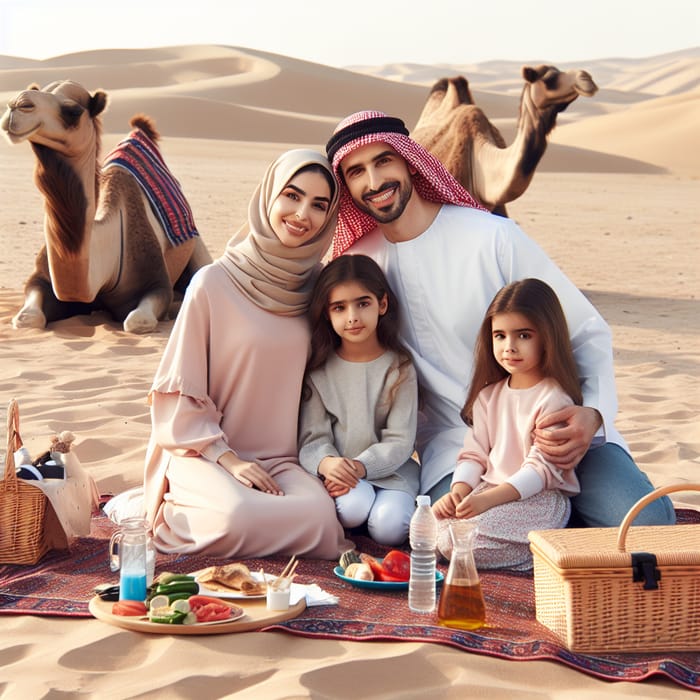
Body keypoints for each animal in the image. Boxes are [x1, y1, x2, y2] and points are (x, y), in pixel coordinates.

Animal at [1, 80, 212, 334]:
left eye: (73, 110)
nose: (17, 104)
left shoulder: (155, 282)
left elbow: (136, 321)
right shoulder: (40, 279)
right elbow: (27, 318)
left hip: (197, 246)